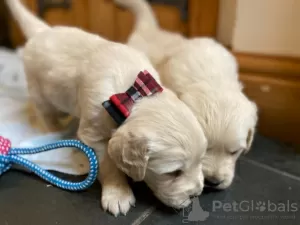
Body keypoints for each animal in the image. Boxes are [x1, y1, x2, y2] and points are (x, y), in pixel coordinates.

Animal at [7, 0, 209, 216]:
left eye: (201, 159)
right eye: (173, 173)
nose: (196, 194)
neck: (133, 95)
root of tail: (42, 31)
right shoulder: (94, 132)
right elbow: (108, 164)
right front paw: (118, 194)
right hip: (41, 94)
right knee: (45, 114)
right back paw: (53, 130)